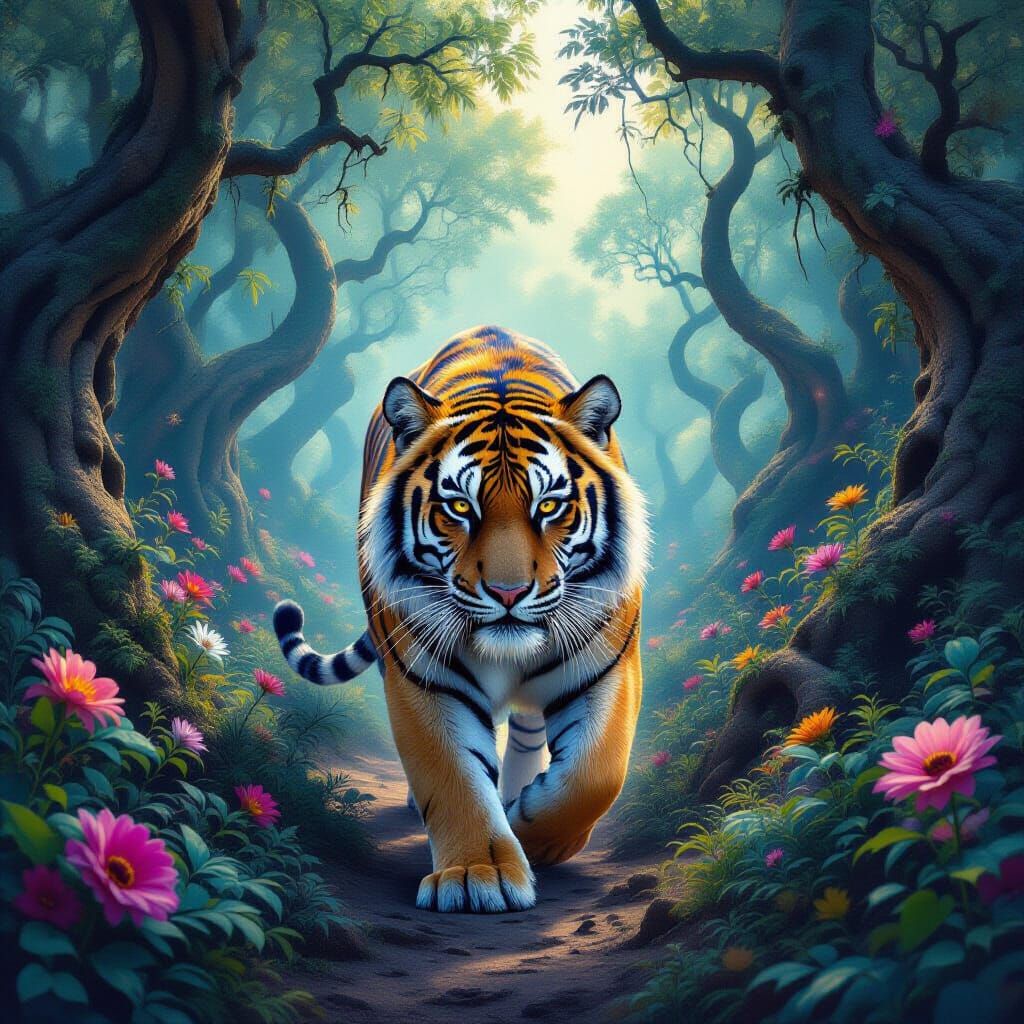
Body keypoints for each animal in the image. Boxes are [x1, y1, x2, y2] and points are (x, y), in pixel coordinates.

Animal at [274, 326, 648, 913]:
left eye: (548, 506)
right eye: (459, 507)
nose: (508, 592)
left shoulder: (607, 665)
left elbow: (596, 774)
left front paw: (534, 832)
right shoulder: (425, 674)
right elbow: (453, 775)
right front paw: (478, 876)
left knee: (528, 730)